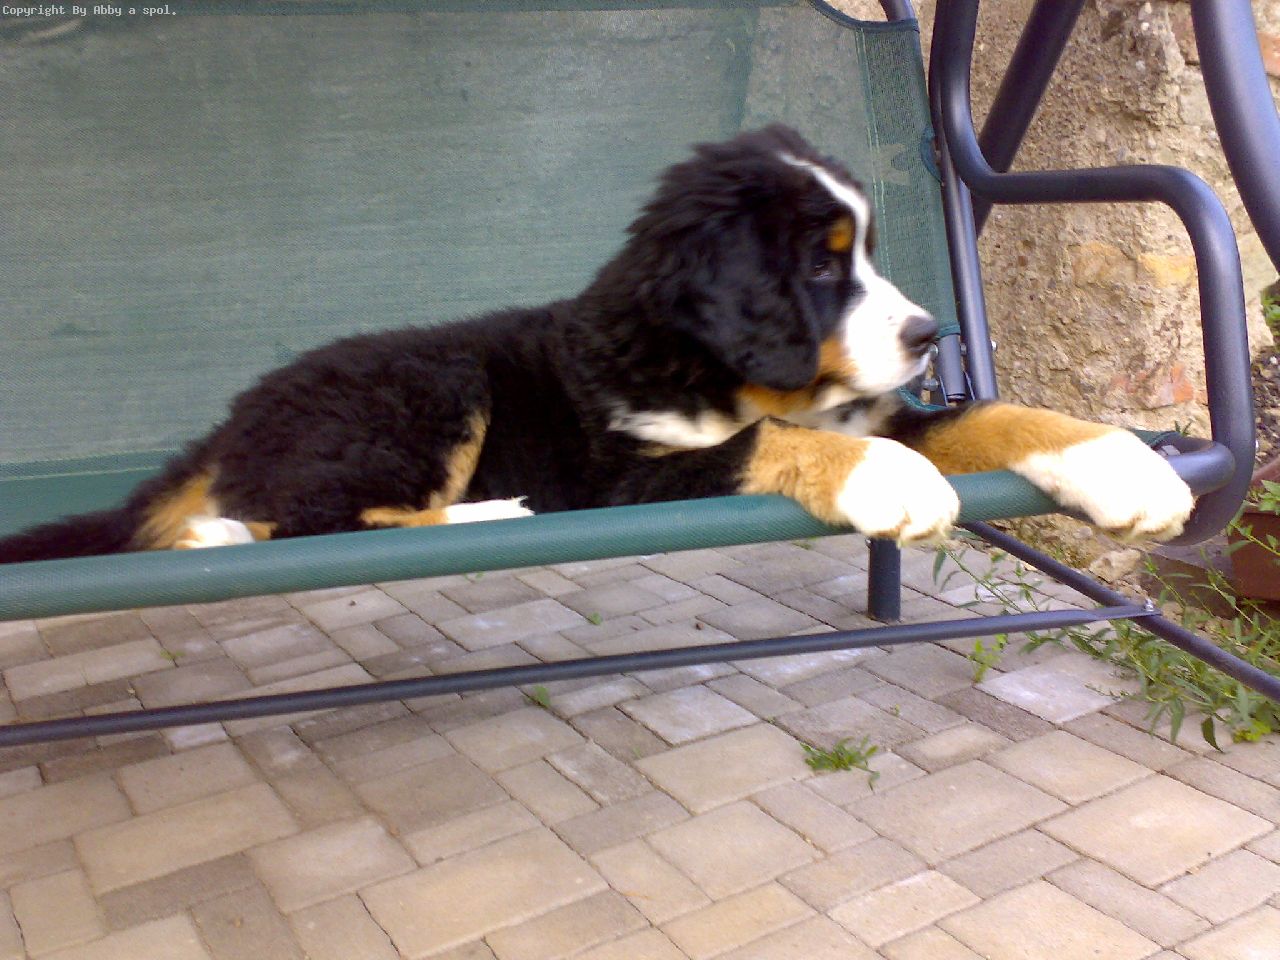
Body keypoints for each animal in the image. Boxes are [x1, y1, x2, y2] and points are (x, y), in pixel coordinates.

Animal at [0, 125, 1194, 564]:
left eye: (861, 253)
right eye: (819, 267)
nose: (923, 333)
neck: (718, 372)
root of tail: (234, 418)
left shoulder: (884, 401)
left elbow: (988, 412)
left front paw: (1119, 463)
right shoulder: (623, 474)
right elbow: (764, 448)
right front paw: (888, 480)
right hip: (427, 387)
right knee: (298, 519)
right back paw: (488, 512)